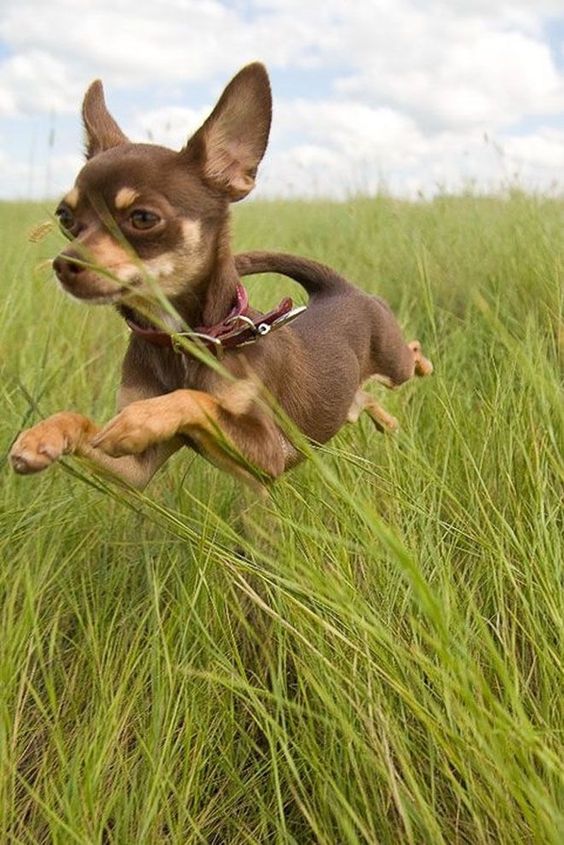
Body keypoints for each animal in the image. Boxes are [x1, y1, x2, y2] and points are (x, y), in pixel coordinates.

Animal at [7, 64, 432, 488]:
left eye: (142, 218)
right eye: (65, 218)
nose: (63, 264)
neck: (184, 341)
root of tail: (336, 287)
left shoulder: (269, 453)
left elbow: (194, 399)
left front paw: (141, 418)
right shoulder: (134, 470)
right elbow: (84, 423)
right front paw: (42, 435)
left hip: (393, 363)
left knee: (410, 353)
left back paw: (422, 368)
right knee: (365, 400)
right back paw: (387, 421)